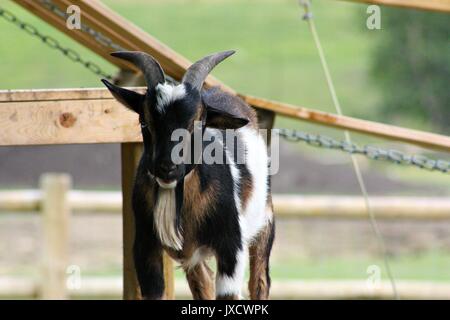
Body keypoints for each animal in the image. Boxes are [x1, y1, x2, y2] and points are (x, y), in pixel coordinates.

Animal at [102, 50, 274, 300]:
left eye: (197, 122)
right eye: (144, 121)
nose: (166, 167)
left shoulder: (231, 248)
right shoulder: (145, 247)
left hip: (265, 220)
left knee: (259, 282)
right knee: (204, 281)